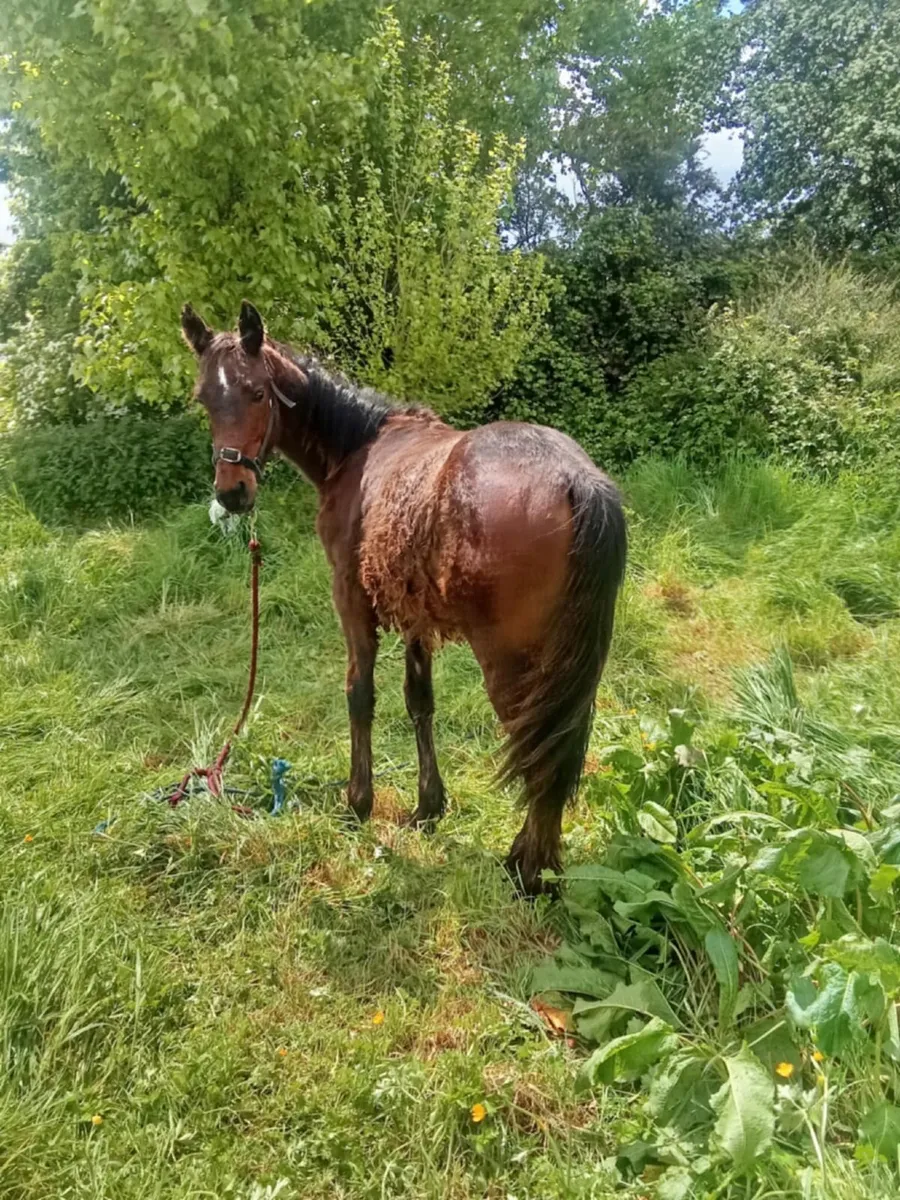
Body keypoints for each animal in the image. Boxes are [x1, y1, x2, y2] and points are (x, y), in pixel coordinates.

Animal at [181, 300, 627, 895]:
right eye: (205, 398)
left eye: (256, 392)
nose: (232, 494)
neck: (357, 449)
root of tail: (576, 480)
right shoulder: (417, 618)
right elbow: (420, 703)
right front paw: (428, 808)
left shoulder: (351, 600)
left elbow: (360, 695)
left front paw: (357, 803)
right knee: (561, 743)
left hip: (512, 662)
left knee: (539, 749)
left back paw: (528, 870)